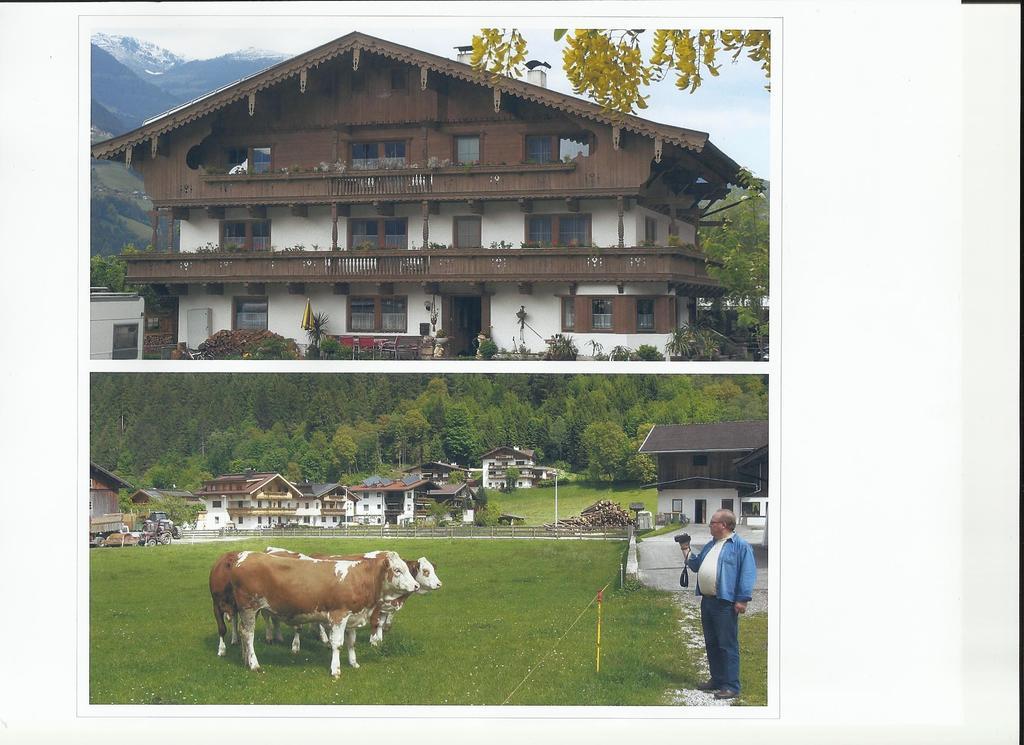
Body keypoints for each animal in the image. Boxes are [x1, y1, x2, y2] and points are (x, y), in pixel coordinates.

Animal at [209, 548, 417, 675]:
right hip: (249, 608)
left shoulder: (353, 617)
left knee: (244, 633)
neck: (360, 579)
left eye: (407, 568)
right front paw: (336, 669)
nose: (415, 585)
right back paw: (253, 663)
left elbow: (351, 643)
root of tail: (242, 556)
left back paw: (246, 659)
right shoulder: (338, 615)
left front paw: (353, 663)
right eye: (397, 570)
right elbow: (337, 644)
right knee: (248, 634)